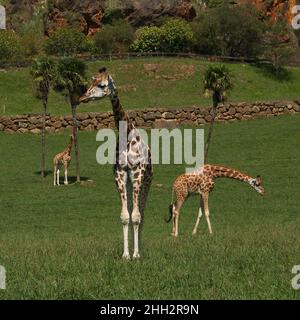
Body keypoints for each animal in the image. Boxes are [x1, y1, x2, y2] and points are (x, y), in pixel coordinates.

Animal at [78, 67, 154, 260]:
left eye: (102, 85)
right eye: (91, 81)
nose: (82, 98)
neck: (126, 135)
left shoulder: (137, 174)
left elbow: (136, 217)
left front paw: (136, 255)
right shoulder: (120, 175)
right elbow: (125, 216)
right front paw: (126, 255)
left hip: (145, 182)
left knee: (142, 213)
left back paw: (139, 250)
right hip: (129, 183)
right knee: (132, 210)